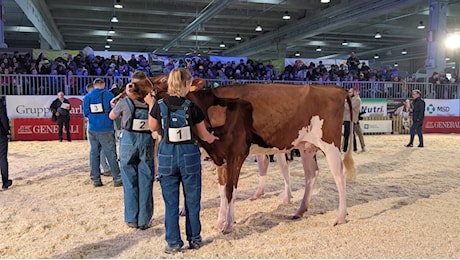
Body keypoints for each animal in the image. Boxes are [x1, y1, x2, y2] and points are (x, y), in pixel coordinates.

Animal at [138, 76, 354, 233]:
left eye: (165, 85)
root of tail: (337, 89)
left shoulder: (236, 155)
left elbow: (230, 190)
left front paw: (228, 225)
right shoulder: (220, 158)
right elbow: (222, 190)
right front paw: (219, 222)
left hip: (331, 144)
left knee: (340, 176)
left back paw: (340, 217)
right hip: (306, 146)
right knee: (311, 174)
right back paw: (300, 211)